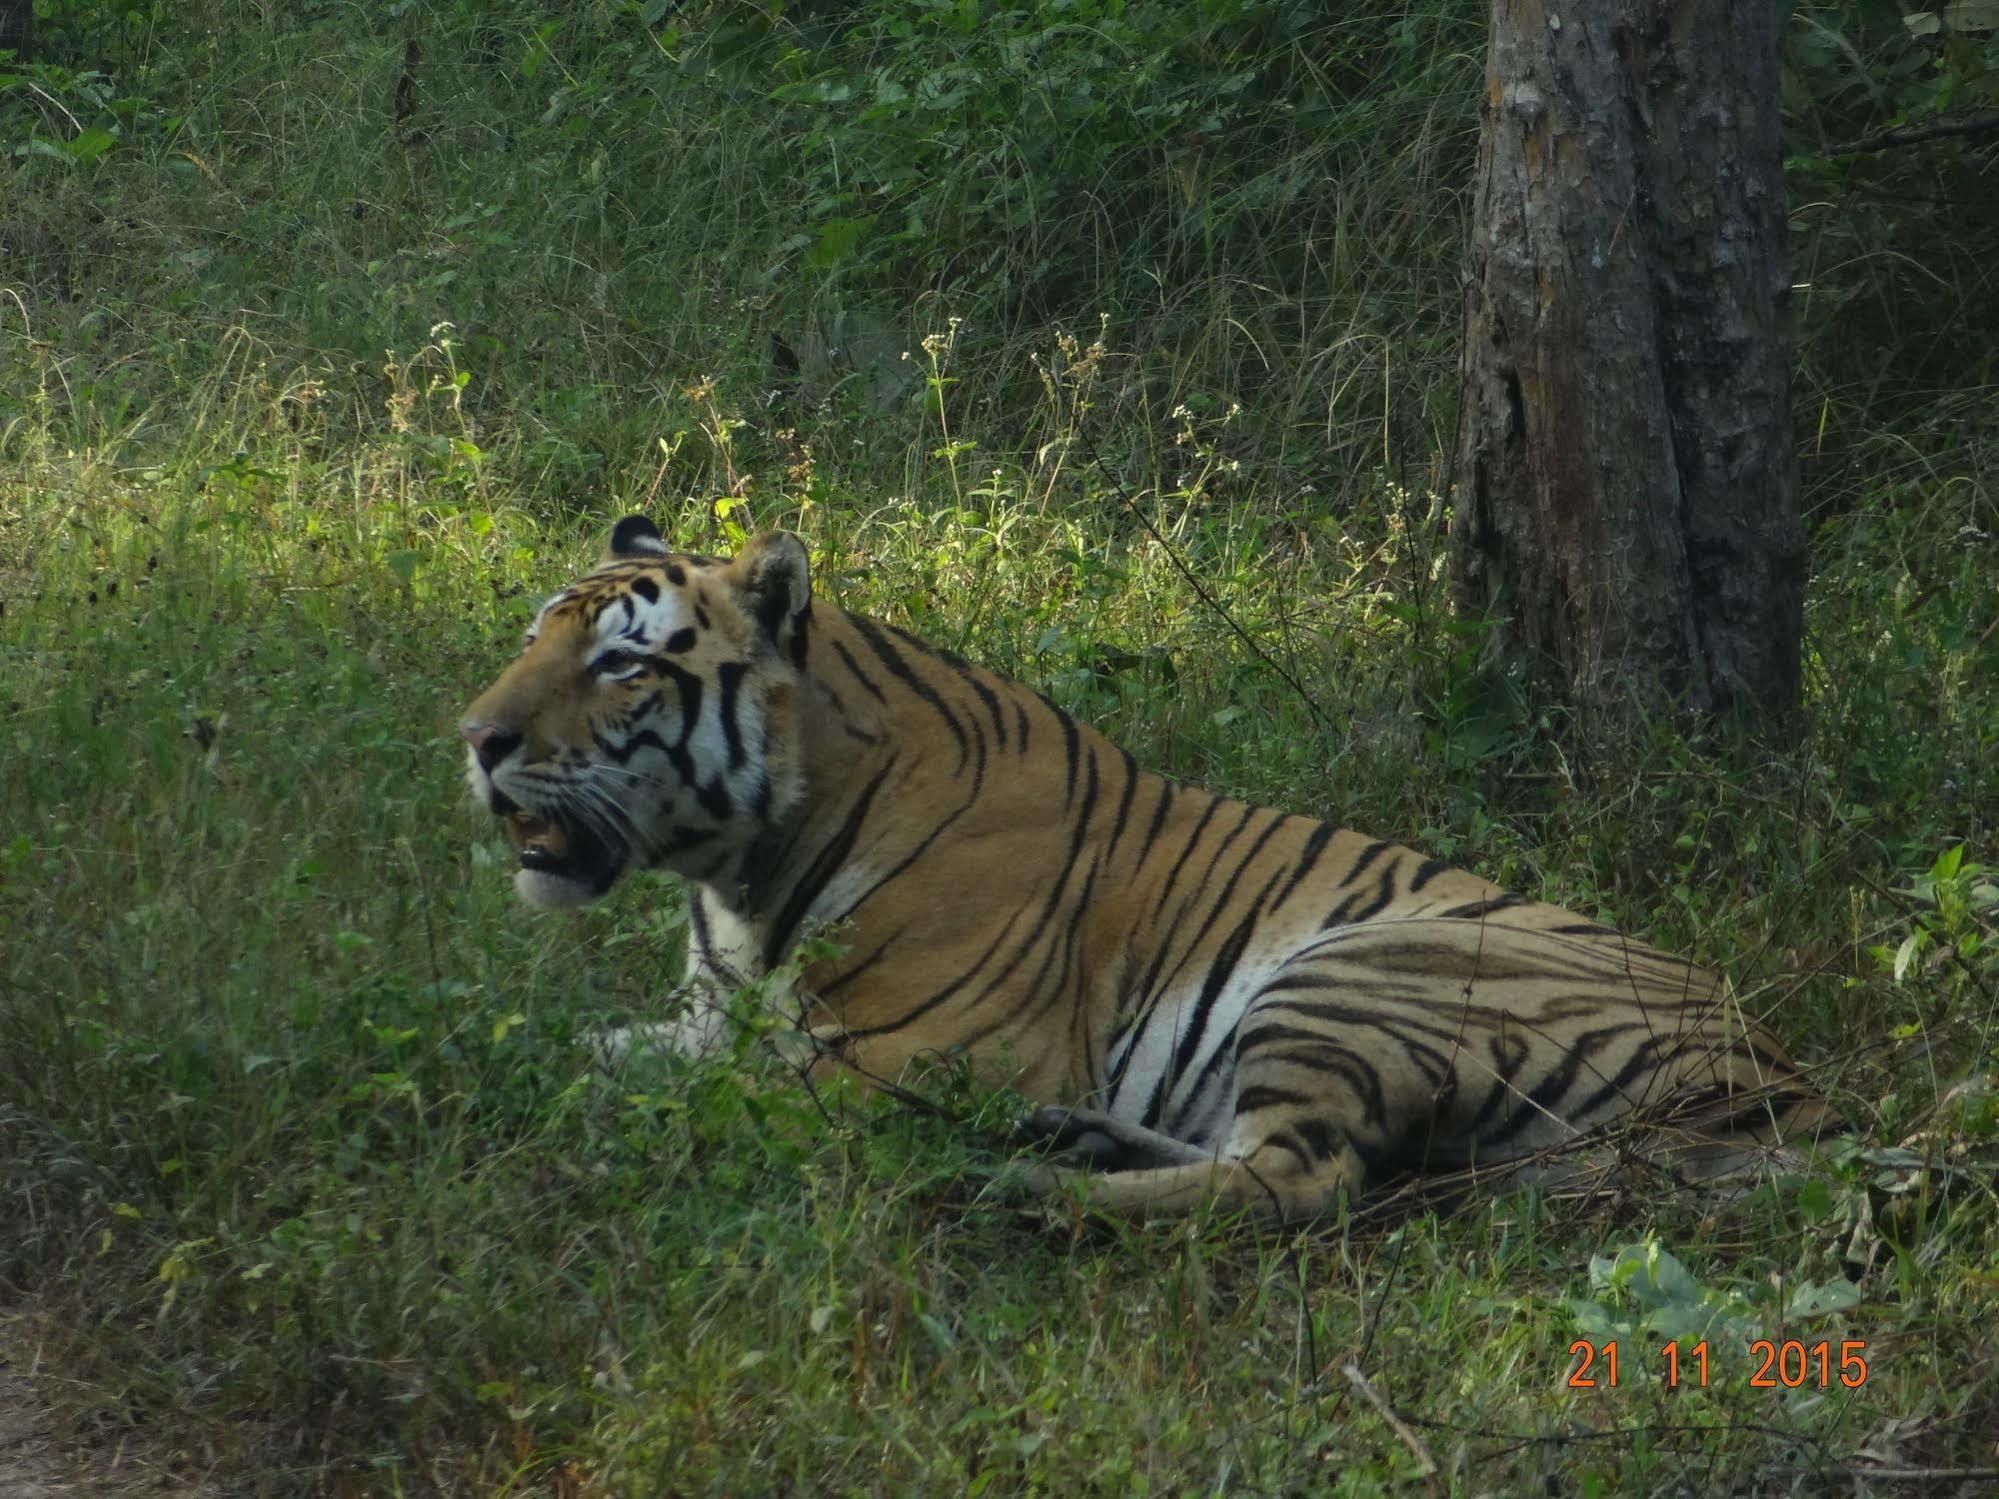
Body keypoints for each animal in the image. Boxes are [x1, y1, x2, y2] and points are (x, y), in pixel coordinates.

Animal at [459, 515, 1831, 1223]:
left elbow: (707, 1101)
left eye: (621, 662)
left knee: (1302, 1179)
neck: (741, 869)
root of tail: (1784, 1076)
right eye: (534, 635)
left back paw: (1023, 1182)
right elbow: (572, 1045)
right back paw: (1071, 1144)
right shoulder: (710, 1016)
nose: (474, 738)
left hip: (1358, 969)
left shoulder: (915, 1053)